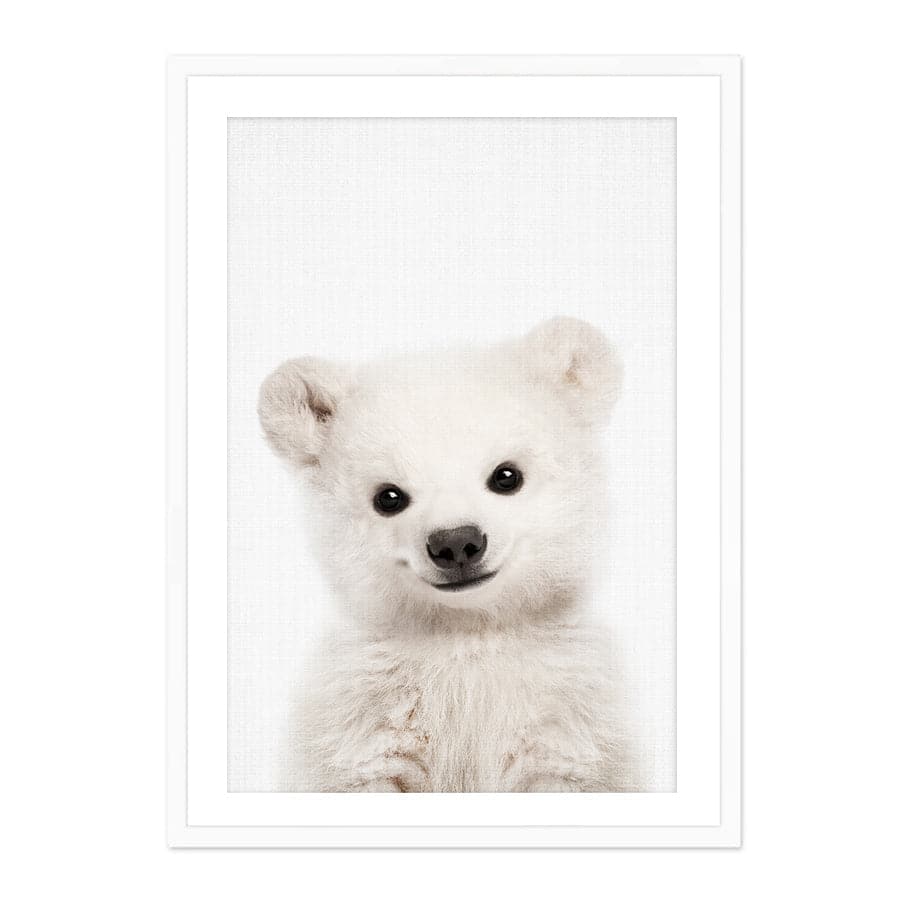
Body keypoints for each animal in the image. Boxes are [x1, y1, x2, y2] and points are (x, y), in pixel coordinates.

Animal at [258, 316, 640, 792]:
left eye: (507, 475)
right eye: (388, 497)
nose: (456, 542)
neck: (465, 634)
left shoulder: (569, 720)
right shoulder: (361, 722)